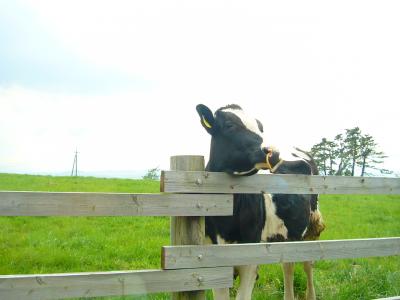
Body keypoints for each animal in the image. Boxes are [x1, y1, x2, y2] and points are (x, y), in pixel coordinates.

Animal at [196, 103, 324, 300]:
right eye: (229, 125)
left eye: (260, 128)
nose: (274, 151)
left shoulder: (250, 259)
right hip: (287, 236)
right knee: (288, 265)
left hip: (311, 227)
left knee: (307, 263)